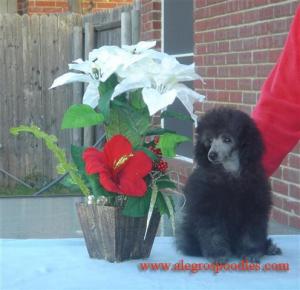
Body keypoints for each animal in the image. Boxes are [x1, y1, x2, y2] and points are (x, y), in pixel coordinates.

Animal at [176, 107, 282, 264]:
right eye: (210, 140)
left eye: (227, 139)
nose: (212, 155)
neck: (230, 173)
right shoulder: (208, 207)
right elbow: (213, 233)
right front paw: (218, 254)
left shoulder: (254, 206)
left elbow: (252, 232)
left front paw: (251, 252)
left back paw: (269, 248)